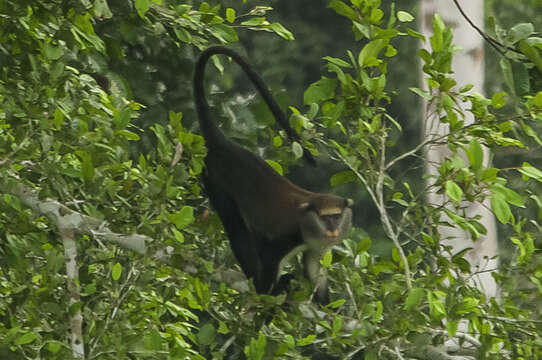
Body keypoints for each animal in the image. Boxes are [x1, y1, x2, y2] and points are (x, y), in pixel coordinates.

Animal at [193, 45, 354, 304]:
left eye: (337, 216)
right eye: (325, 218)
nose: (332, 230)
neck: (308, 223)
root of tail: (224, 146)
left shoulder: (316, 247)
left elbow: (313, 268)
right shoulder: (286, 237)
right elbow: (268, 254)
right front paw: (267, 295)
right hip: (215, 180)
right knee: (237, 230)